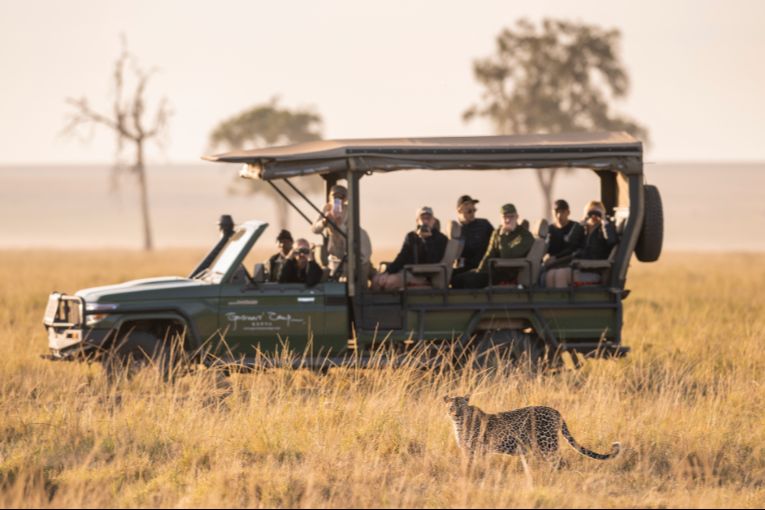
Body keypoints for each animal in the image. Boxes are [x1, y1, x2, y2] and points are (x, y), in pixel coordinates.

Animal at [444, 395, 620, 462]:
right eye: (451, 407)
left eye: (462, 407)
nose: (457, 414)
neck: (459, 424)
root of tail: (555, 411)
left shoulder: (475, 450)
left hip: (548, 443)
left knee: (559, 461)